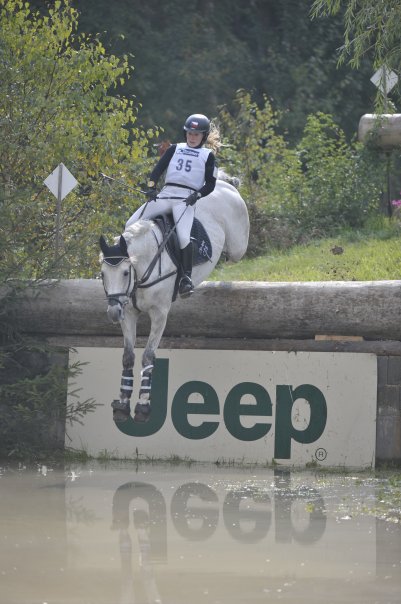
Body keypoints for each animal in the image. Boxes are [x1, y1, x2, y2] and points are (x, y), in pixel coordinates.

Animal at [99, 176, 249, 423]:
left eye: (125, 273)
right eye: (102, 274)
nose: (112, 313)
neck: (144, 267)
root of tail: (224, 186)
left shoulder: (159, 313)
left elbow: (148, 356)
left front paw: (142, 406)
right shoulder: (128, 313)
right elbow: (128, 356)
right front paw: (122, 404)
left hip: (238, 244)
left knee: (235, 253)